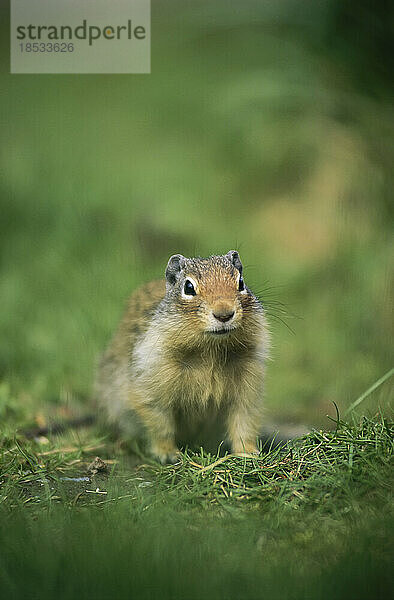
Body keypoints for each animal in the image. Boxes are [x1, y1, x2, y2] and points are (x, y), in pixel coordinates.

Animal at [94, 251, 270, 462]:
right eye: (188, 287)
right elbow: (160, 423)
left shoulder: (248, 386)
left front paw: (248, 452)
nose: (224, 314)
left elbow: (244, 420)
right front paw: (168, 454)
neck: (211, 349)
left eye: (241, 282)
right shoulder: (152, 386)